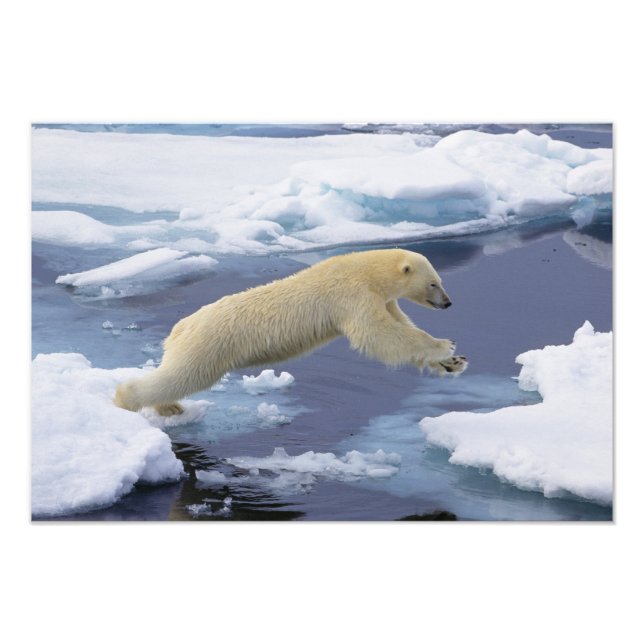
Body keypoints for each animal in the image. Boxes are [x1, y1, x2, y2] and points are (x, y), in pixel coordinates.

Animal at [114, 248, 467, 416]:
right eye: (433, 283)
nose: (449, 303)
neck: (366, 271)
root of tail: (181, 327)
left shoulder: (383, 298)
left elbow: (401, 327)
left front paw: (453, 363)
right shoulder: (351, 295)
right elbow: (379, 336)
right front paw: (445, 346)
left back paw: (169, 406)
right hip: (209, 344)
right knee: (183, 375)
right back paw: (127, 400)